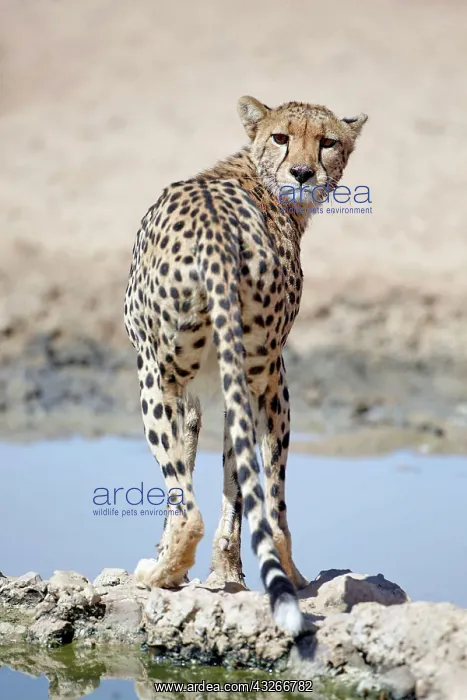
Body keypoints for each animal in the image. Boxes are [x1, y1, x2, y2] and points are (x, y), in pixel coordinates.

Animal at [124, 96, 367, 635]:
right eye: (281, 137)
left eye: (327, 141)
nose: (303, 172)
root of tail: (217, 233)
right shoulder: (222, 385)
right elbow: (234, 478)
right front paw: (227, 572)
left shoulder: (186, 388)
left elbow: (190, 478)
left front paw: (178, 565)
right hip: (263, 373)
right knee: (269, 496)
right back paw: (289, 578)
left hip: (157, 373)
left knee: (195, 507)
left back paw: (159, 574)